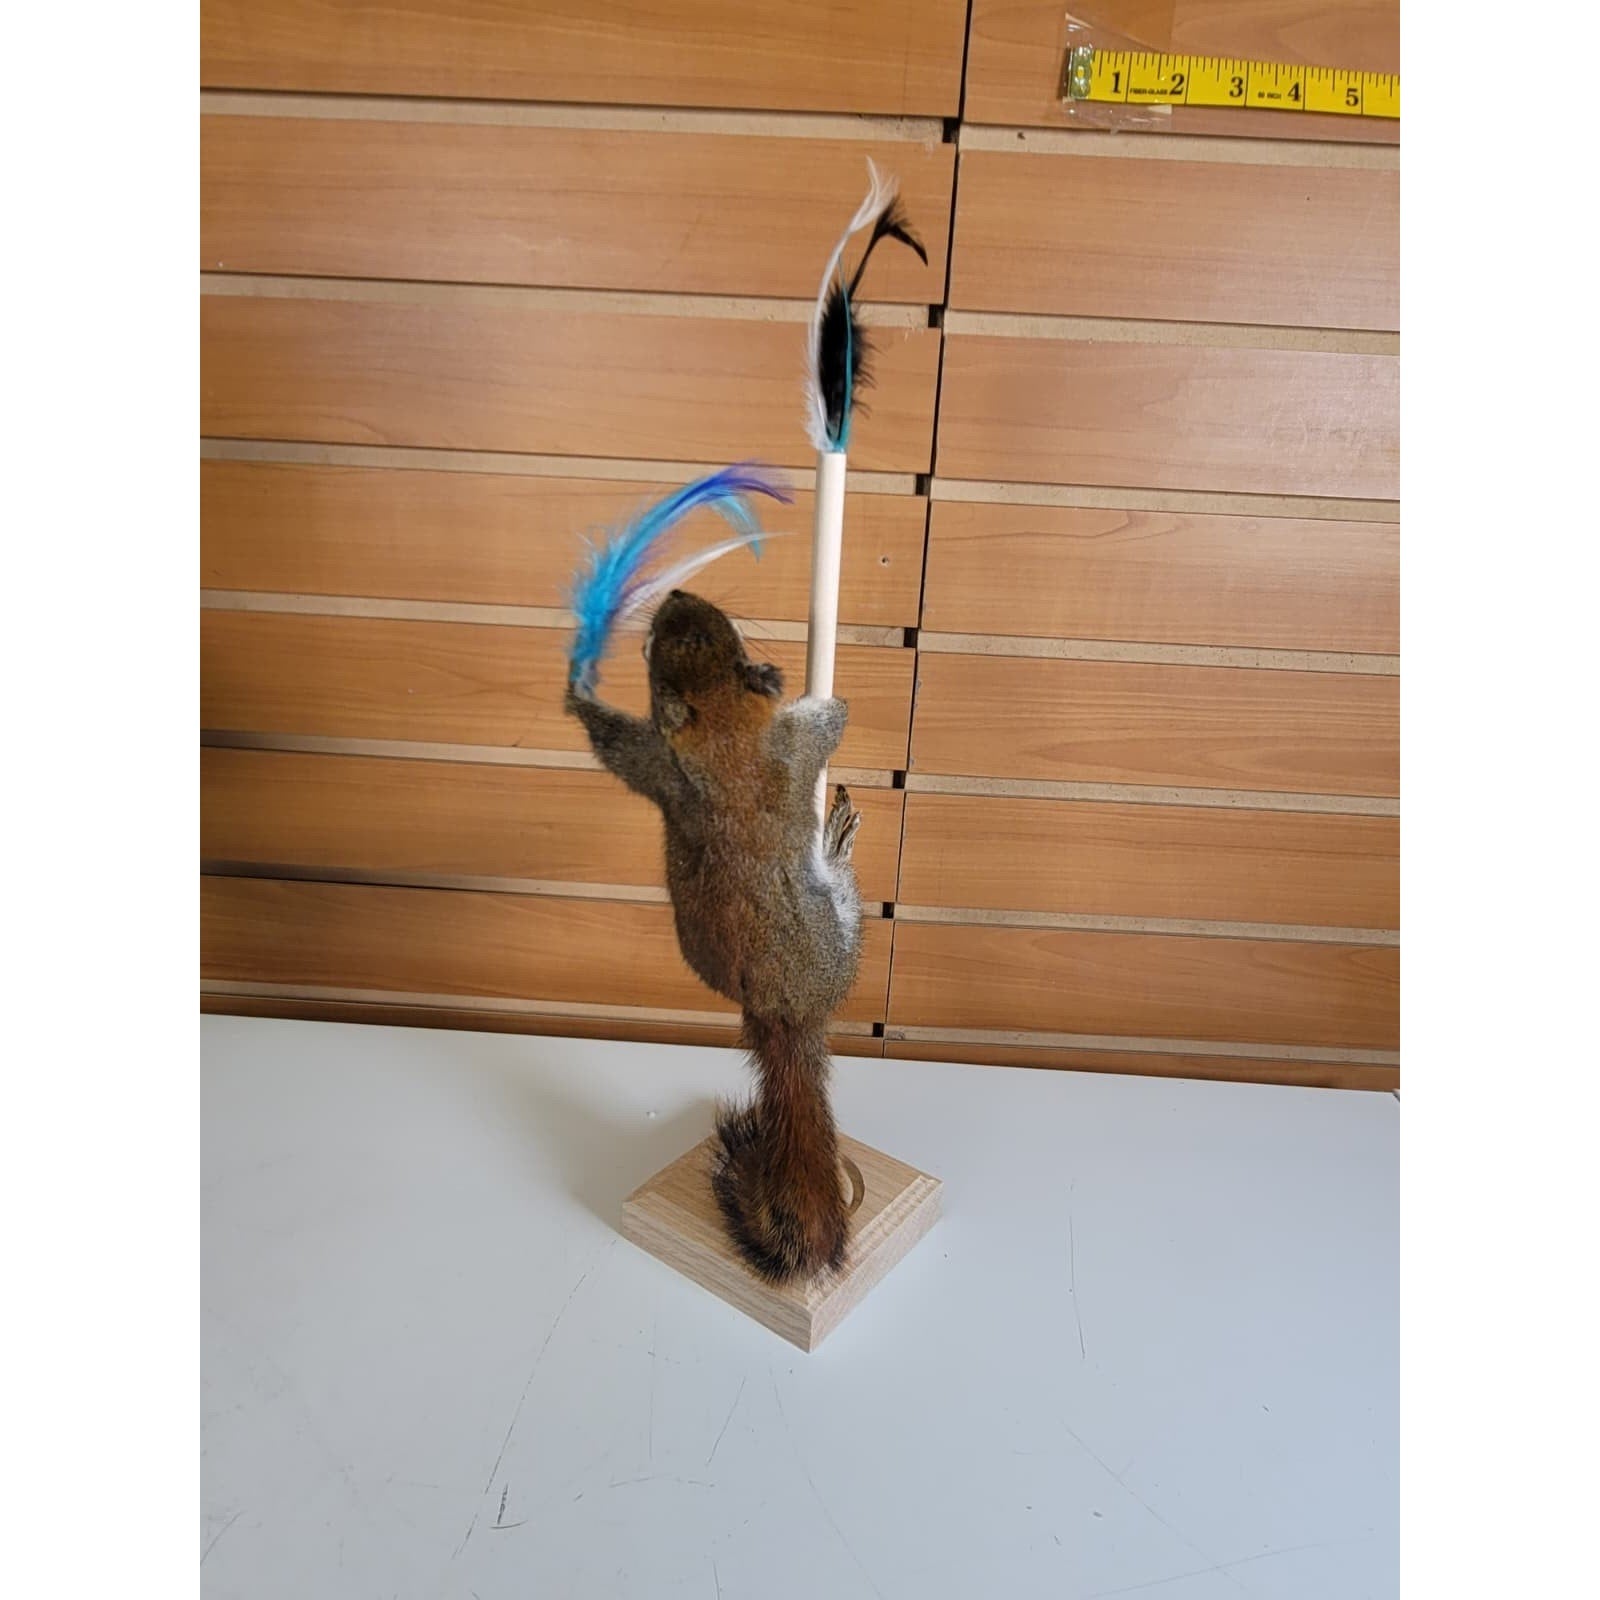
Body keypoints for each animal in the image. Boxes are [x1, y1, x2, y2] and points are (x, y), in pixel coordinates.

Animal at [565, 588, 862, 1282]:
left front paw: (579, 687)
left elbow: (615, 745)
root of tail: (781, 1015)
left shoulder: (658, 764)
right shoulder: (791, 742)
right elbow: (826, 725)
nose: (675, 593)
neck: (720, 730)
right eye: (718, 641)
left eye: (664, 645)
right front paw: (829, 700)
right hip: (840, 939)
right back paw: (837, 842)